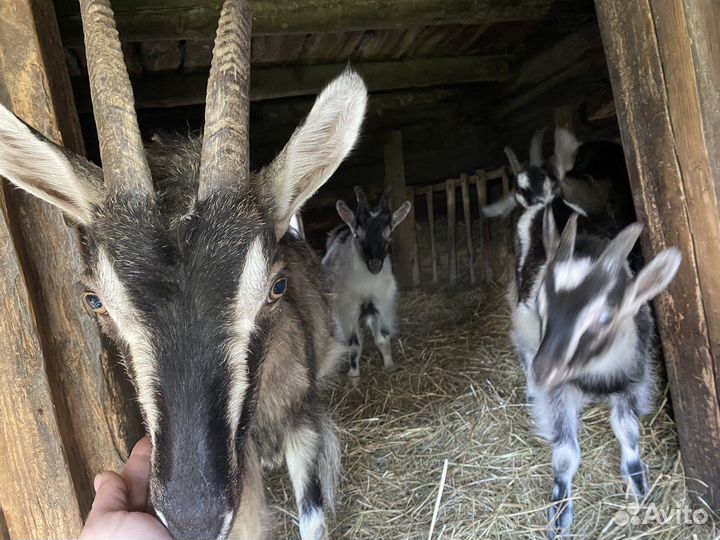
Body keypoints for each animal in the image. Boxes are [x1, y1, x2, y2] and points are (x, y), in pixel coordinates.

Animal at [322, 187, 411, 378]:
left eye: (389, 235)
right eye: (358, 235)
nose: (375, 264)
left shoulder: (383, 304)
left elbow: (383, 339)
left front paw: (389, 365)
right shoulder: (347, 310)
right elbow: (354, 344)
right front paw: (353, 374)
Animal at [512, 205, 680, 538]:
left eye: (605, 318)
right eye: (541, 305)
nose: (543, 371)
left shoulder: (630, 382)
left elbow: (628, 432)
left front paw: (639, 489)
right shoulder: (557, 390)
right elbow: (566, 452)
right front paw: (559, 514)